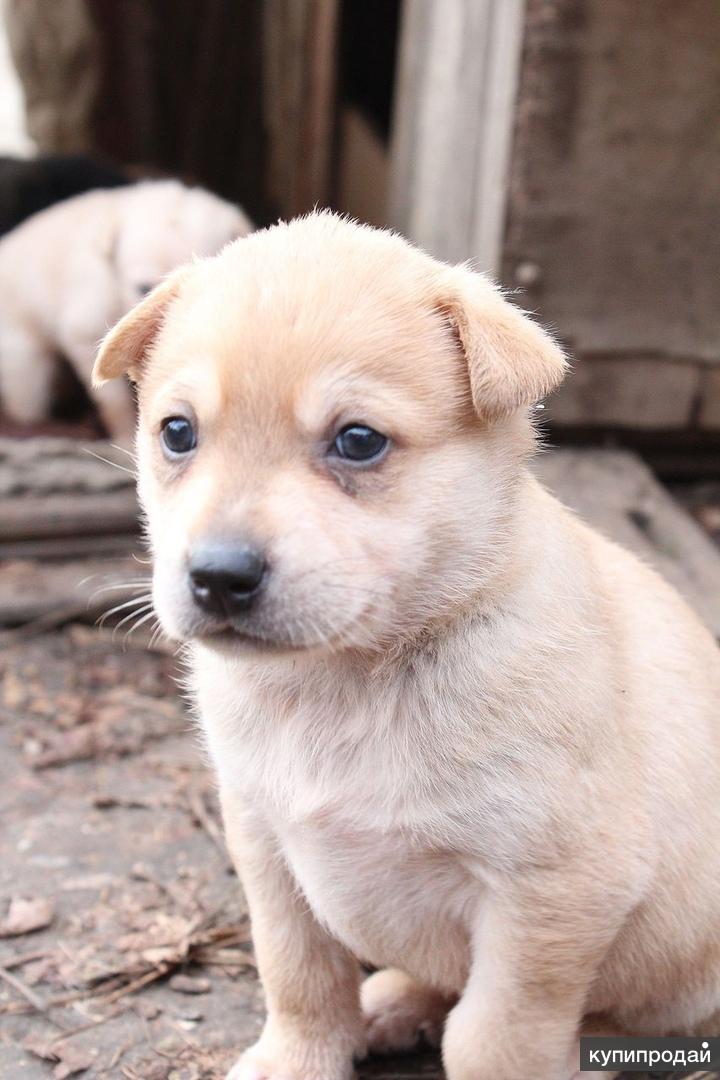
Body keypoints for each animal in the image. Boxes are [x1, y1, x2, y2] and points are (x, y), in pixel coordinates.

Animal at [94, 212, 720, 1080]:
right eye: (177, 433)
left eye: (358, 441)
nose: (218, 577)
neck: (348, 681)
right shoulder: (264, 845)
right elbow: (299, 976)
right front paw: (299, 1058)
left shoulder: (554, 891)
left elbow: (494, 1037)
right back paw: (394, 1003)